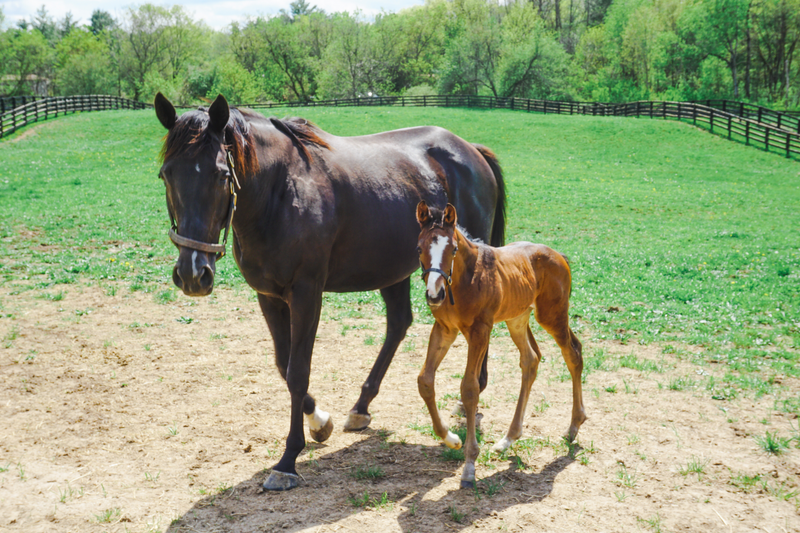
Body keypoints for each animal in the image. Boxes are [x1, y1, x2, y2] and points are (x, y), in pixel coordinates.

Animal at [416, 202, 584, 488]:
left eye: (453, 249)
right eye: (419, 248)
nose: (434, 294)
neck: (465, 280)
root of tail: (559, 255)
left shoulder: (480, 331)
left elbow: (470, 388)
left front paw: (469, 466)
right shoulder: (445, 330)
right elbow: (425, 380)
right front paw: (452, 439)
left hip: (551, 316)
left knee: (573, 354)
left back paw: (573, 426)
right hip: (517, 318)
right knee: (531, 360)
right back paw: (508, 439)